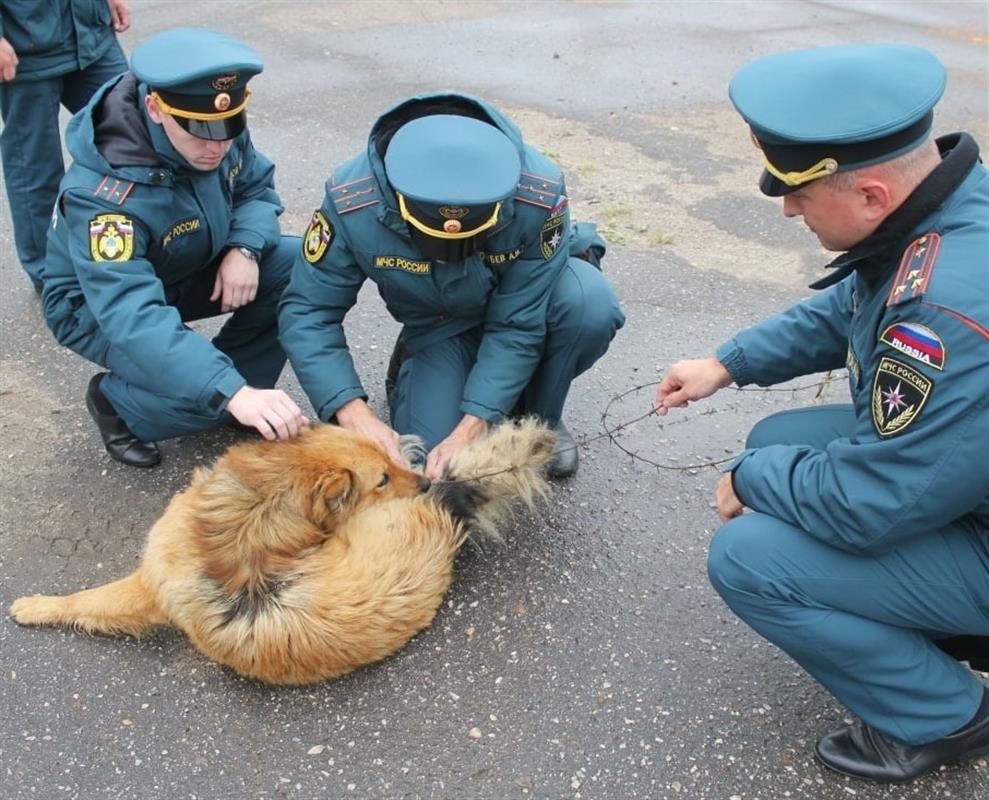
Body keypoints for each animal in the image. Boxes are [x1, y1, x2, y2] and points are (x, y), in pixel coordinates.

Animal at [9, 416, 556, 684]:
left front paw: (33, 606)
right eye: (381, 477)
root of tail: (445, 515)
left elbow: (84, 600)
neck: (256, 510)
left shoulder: (150, 586)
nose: (421, 483)